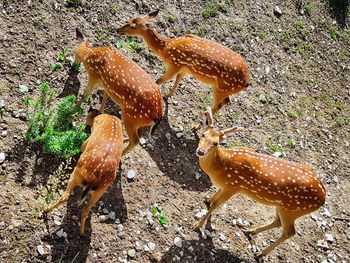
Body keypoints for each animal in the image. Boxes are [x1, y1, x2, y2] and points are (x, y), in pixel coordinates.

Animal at [44, 108, 123, 236]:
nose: (86, 124)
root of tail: (92, 180)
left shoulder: (88, 139)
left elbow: (80, 147)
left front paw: (65, 155)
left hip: (76, 174)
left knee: (65, 196)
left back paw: (46, 210)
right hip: (101, 190)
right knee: (85, 210)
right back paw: (82, 233)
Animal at [74, 27, 164, 156]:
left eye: (74, 53)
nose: (73, 64)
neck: (89, 55)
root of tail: (158, 114)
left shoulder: (93, 76)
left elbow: (84, 94)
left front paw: (73, 109)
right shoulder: (106, 86)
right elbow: (105, 96)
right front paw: (100, 111)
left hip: (130, 117)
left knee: (135, 140)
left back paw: (121, 153)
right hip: (140, 121)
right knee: (140, 136)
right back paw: (124, 139)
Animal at [117, 9, 252, 114]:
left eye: (133, 26)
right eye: (131, 18)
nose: (118, 29)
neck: (166, 48)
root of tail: (247, 82)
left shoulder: (174, 64)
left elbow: (159, 80)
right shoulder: (184, 68)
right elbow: (178, 79)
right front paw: (167, 96)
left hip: (221, 87)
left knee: (221, 103)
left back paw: (198, 125)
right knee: (226, 101)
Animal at [194, 106, 326, 258]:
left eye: (216, 143)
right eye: (203, 135)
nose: (200, 151)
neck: (221, 166)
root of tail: (323, 199)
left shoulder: (234, 186)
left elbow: (216, 205)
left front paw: (197, 225)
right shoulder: (226, 186)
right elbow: (215, 197)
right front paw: (207, 200)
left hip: (292, 209)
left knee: (289, 232)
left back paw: (260, 253)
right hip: (282, 206)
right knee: (278, 222)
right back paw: (250, 231)